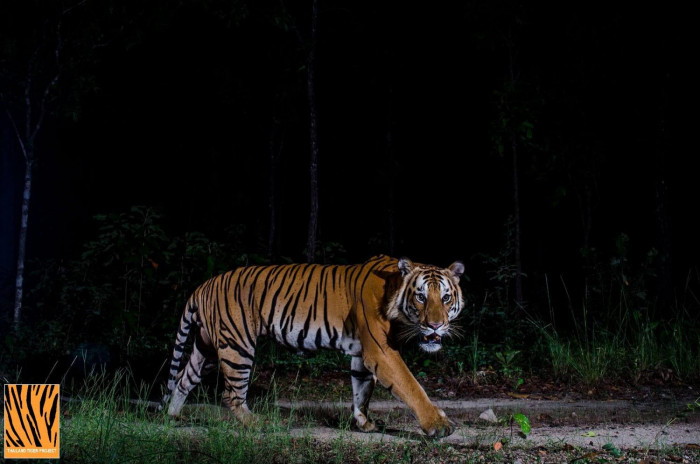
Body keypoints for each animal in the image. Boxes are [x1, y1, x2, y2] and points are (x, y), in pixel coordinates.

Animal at [161, 254, 465, 437]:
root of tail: (203, 286)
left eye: (446, 297)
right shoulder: (381, 351)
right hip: (236, 346)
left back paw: (173, 417)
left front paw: (364, 423)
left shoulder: (362, 354)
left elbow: (361, 390)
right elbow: (411, 386)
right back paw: (258, 424)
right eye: (421, 297)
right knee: (231, 394)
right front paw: (438, 425)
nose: (436, 325)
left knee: (184, 379)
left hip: (207, 347)